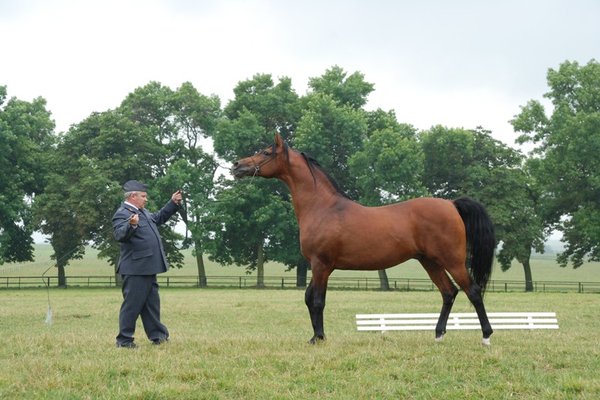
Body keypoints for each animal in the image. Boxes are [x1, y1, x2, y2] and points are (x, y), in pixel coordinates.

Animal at [232, 134, 494, 344]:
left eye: (266, 152)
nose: (236, 165)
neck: (322, 207)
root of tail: (451, 204)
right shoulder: (317, 265)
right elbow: (308, 298)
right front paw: (315, 336)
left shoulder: (321, 265)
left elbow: (317, 300)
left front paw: (319, 338)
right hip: (430, 262)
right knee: (448, 292)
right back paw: (438, 335)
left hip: (452, 261)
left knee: (472, 291)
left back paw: (486, 336)